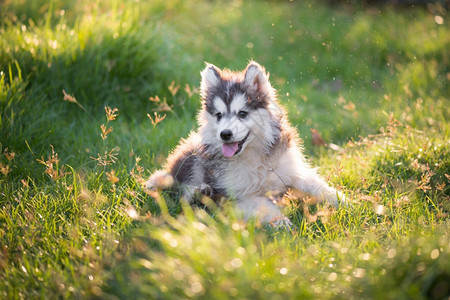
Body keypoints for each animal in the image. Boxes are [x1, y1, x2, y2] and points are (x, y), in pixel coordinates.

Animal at [145, 61, 344, 224]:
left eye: (242, 113)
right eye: (219, 115)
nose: (225, 134)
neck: (254, 155)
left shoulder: (291, 171)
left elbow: (317, 187)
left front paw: (345, 202)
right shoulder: (235, 195)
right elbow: (265, 206)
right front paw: (284, 224)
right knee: (180, 190)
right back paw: (201, 191)